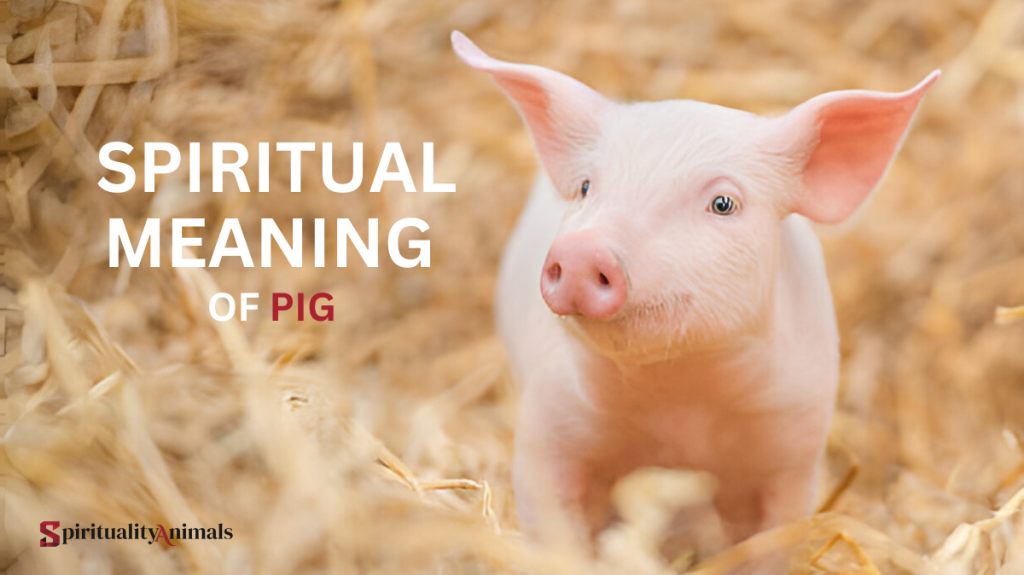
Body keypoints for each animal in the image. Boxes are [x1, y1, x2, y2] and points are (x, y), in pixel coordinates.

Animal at [452, 31, 937, 554]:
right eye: (585, 187)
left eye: (723, 203)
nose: (584, 249)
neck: (680, 402)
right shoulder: (547, 426)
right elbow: (555, 526)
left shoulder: (795, 451)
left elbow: (772, 539)